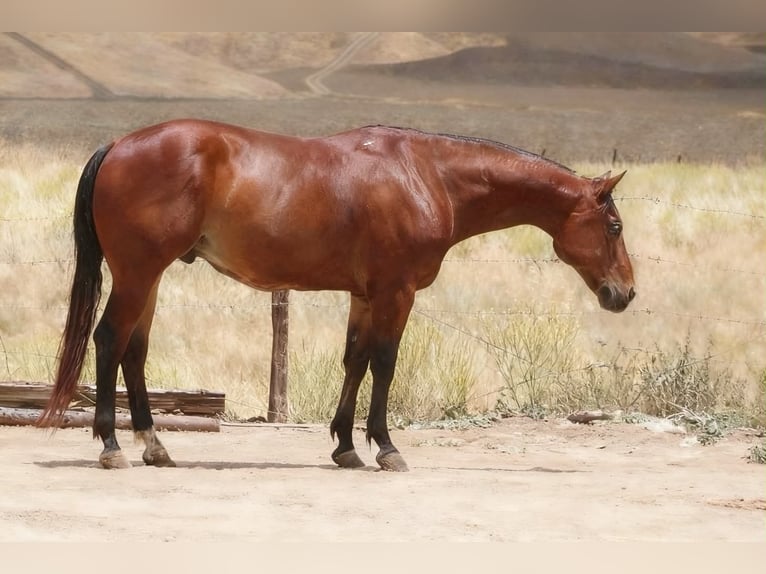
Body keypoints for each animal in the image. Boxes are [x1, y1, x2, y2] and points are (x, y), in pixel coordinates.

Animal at [37, 119, 635, 472]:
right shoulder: (396, 293)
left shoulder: (366, 296)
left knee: (134, 350)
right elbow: (385, 364)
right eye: (614, 227)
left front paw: (345, 446)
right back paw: (113, 446)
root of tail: (120, 144)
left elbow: (355, 361)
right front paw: (386, 448)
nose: (624, 294)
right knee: (109, 340)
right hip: (138, 273)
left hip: (150, 277)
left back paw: (155, 445)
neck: (427, 174)